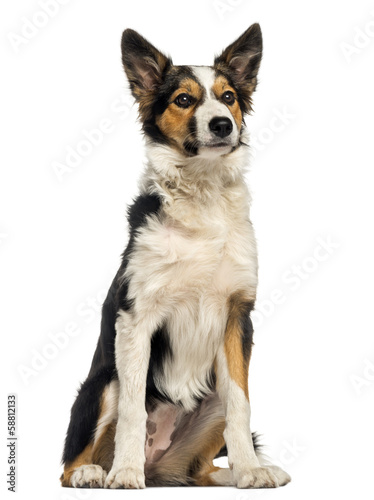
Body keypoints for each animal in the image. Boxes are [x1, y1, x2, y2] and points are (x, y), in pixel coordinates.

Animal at [60, 23, 290, 488]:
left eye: (228, 96)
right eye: (184, 100)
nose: (222, 125)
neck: (202, 197)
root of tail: (159, 467)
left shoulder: (237, 315)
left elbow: (241, 406)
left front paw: (250, 471)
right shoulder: (136, 318)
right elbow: (133, 410)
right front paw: (125, 473)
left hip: (211, 398)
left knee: (200, 468)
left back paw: (243, 470)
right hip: (103, 383)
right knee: (70, 462)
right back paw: (97, 471)